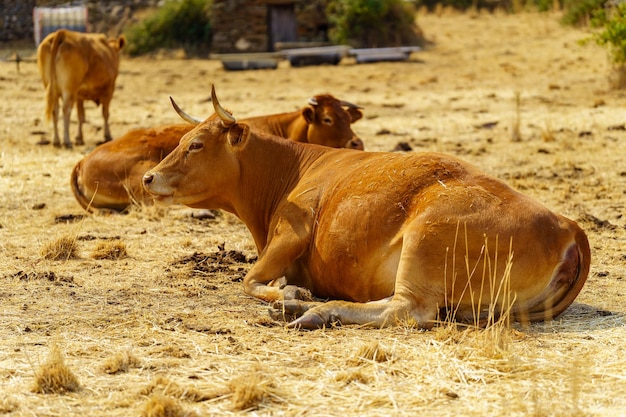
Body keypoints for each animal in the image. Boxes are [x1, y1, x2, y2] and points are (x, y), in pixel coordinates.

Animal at [143, 87, 588, 328]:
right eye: (181, 140)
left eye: (196, 144)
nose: (149, 178)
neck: (291, 167)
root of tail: (566, 225)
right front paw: (291, 293)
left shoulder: (289, 235)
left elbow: (250, 281)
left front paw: (290, 291)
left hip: (424, 242)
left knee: (405, 310)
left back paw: (312, 310)